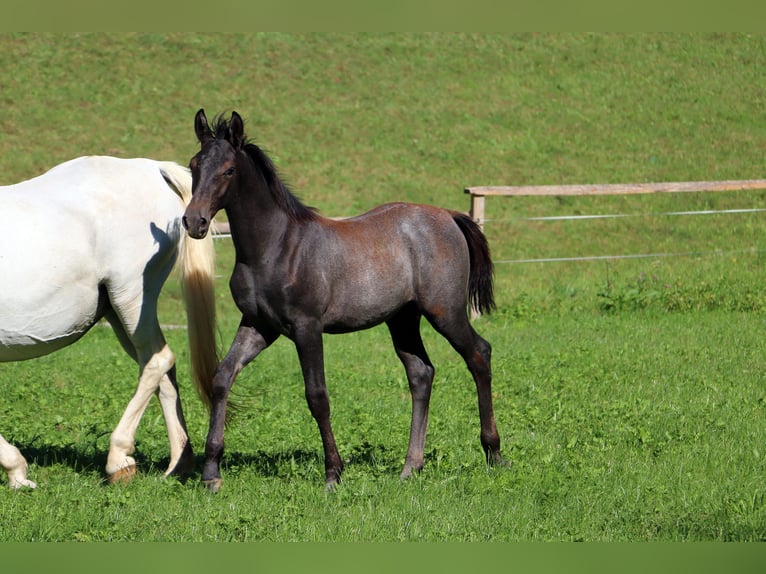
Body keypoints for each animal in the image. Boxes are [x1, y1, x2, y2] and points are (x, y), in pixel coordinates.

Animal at [0, 158, 218, 490]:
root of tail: (152, 168)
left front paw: (16, 471)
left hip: (131, 299)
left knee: (158, 361)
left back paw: (119, 460)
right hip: (118, 314)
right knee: (163, 369)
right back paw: (178, 463)